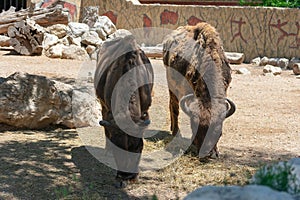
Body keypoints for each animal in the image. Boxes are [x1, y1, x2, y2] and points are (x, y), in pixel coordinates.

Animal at [163, 21, 236, 159]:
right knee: (173, 107)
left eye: (218, 131)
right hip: (172, 87)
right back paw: (176, 132)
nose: (206, 154)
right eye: (195, 128)